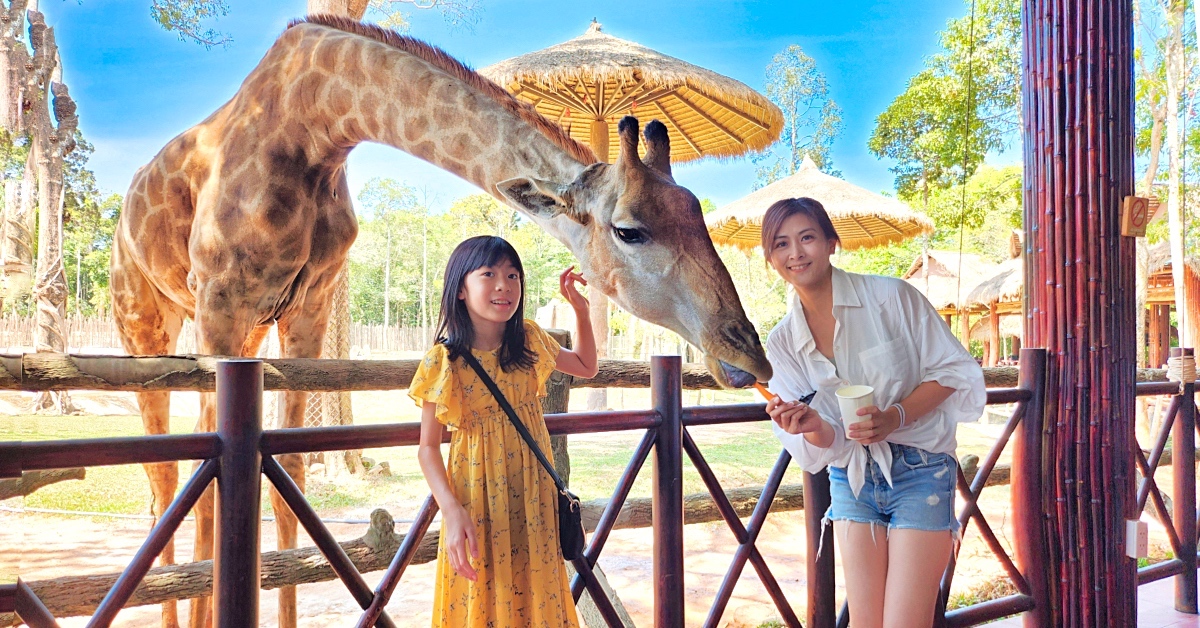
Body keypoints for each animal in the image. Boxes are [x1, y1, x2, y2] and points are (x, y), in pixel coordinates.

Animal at [112, 15, 768, 628]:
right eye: (630, 230)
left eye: (698, 215)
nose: (749, 356)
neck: (315, 120)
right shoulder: (222, 298)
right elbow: (210, 480)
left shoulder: (307, 308)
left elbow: (289, 470)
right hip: (150, 319)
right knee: (164, 470)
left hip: (246, 325)